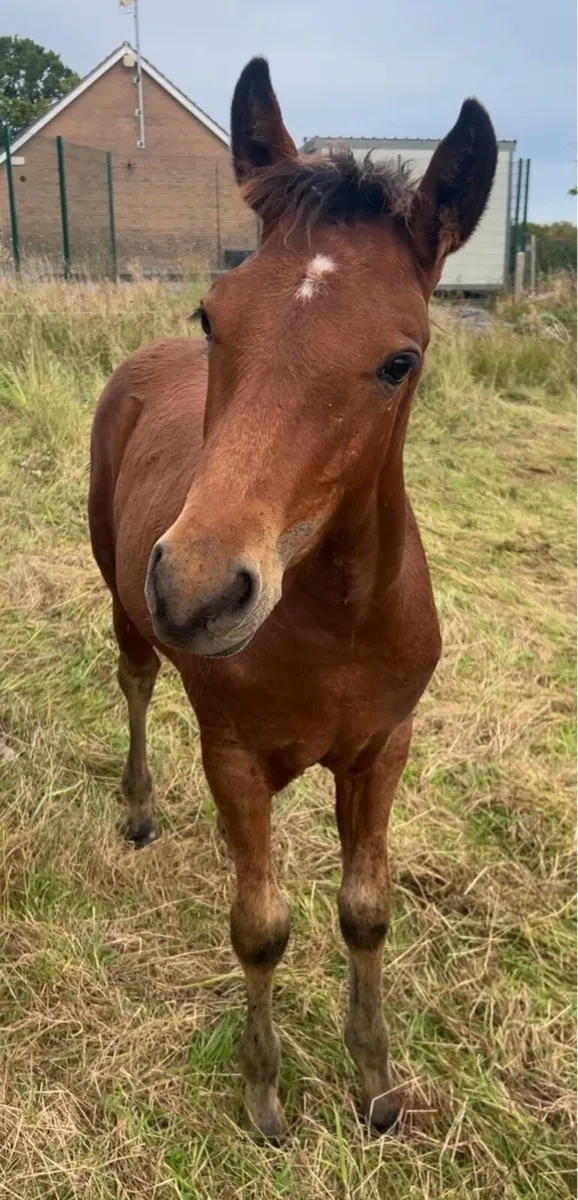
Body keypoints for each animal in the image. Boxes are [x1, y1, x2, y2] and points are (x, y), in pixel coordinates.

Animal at [89, 57, 497, 1138]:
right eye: (214, 317)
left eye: (400, 360)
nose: (196, 589)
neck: (335, 622)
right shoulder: (232, 756)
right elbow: (260, 925)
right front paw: (265, 1093)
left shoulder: (382, 748)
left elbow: (365, 912)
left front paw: (376, 1084)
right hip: (119, 592)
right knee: (135, 681)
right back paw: (139, 808)